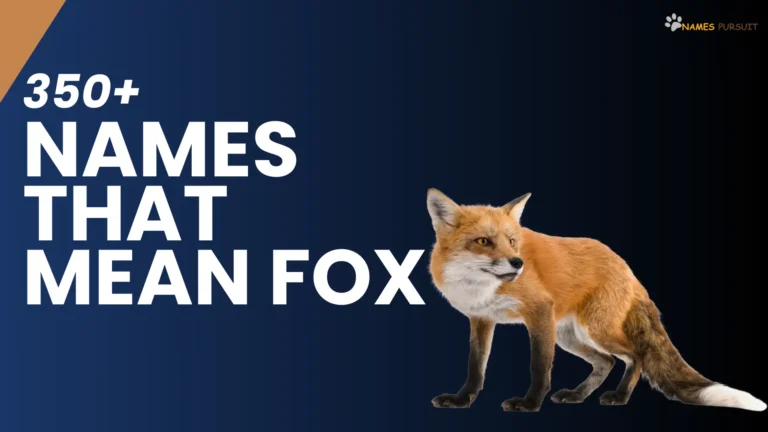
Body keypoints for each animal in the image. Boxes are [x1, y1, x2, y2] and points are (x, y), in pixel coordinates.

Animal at [426, 188, 766, 412]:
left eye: (512, 241)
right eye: (483, 241)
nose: (518, 263)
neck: (481, 287)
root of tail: (626, 267)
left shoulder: (539, 312)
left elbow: (539, 367)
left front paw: (530, 403)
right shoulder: (482, 319)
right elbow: (475, 367)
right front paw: (462, 400)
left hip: (594, 330)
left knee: (635, 356)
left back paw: (619, 397)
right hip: (569, 337)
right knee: (607, 361)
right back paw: (578, 396)